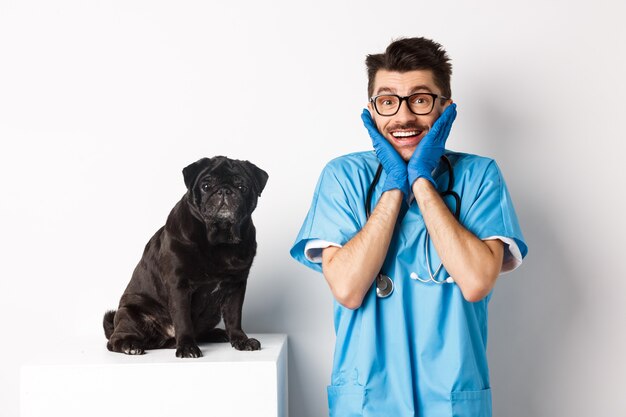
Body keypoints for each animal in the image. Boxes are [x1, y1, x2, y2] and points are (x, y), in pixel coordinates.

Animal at [102, 156, 266, 358]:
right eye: (206, 186)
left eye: (241, 186)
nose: (224, 190)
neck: (219, 240)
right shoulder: (179, 286)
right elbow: (183, 320)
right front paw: (187, 347)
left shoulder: (236, 286)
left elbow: (234, 318)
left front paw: (241, 340)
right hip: (129, 313)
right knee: (114, 340)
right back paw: (130, 345)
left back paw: (216, 334)